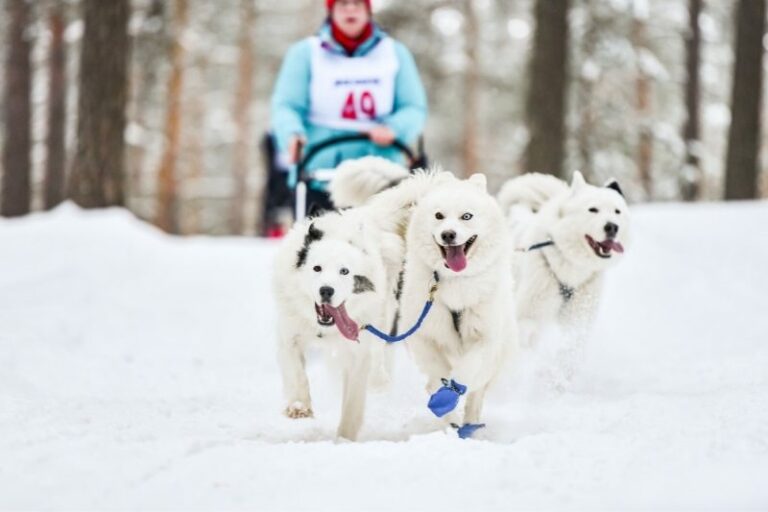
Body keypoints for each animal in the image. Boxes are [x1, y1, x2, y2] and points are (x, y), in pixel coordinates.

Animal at [498, 170, 632, 350]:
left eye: (617, 211)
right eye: (593, 209)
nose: (612, 227)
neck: (571, 266)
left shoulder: (578, 323)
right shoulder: (527, 317)